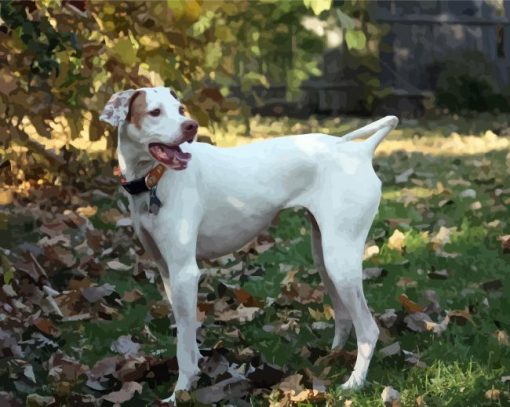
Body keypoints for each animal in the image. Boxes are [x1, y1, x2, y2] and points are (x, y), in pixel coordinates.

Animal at [100, 87, 398, 404]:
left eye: (180, 110)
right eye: (155, 112)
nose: (191, 126)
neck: (155, 180)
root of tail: (359, 151)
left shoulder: (185, 273)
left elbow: (182, 345)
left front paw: (180, 392)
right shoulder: (169, 274)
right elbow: (187, 335)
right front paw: (193, 376)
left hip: (340, 262)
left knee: (368, 330)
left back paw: (354, 383)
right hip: (325, 258)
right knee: (343, 316)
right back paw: (331, 359)